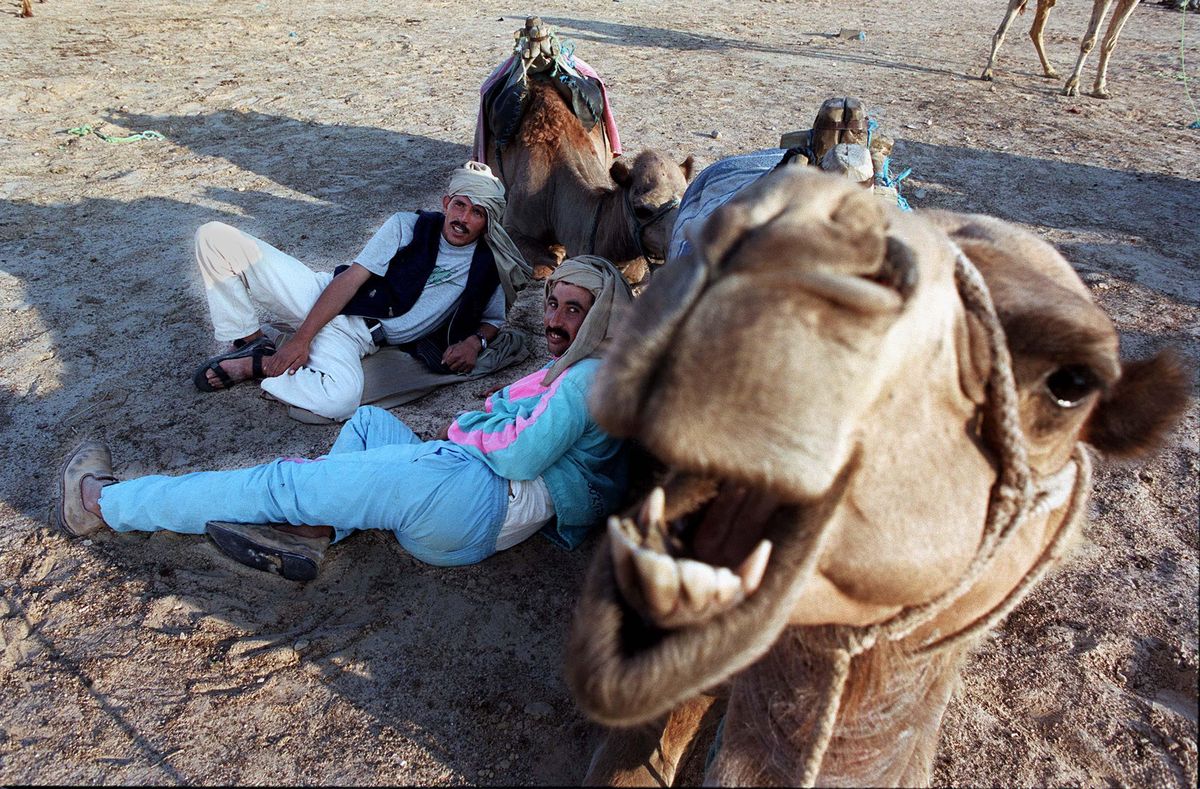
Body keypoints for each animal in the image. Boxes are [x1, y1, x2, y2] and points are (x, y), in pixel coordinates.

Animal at [979, 0, 1137, 97]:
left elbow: (1110, 42)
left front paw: (1100, 89)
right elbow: (1090, 40)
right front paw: (1072, 86)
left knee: (1036, 30)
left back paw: (1050, 71)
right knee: (1006, 26)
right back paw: (988, 72)